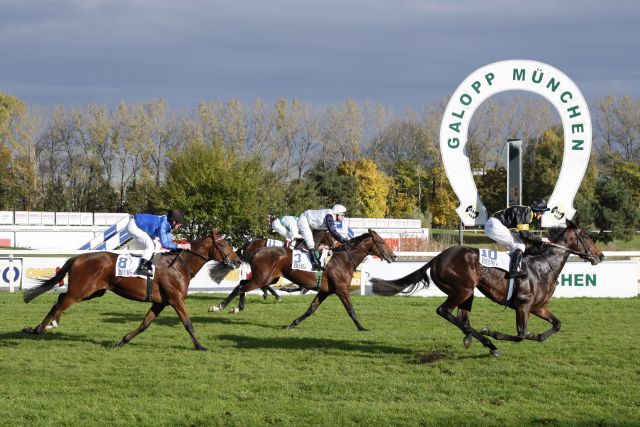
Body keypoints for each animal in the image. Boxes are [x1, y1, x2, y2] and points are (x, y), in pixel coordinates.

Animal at [23, 229, 240, 352]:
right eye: (223, 244)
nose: (238, 261)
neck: (178, 266)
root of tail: (78, 258)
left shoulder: (161, 302)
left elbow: (145, 324)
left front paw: (121, 341)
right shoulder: (176, 299)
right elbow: (188, 323)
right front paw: (199, 346)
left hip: (93, 292)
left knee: (60, 298)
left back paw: (40, 327)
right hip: (81, 292)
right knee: (60, 303)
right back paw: (42, 327)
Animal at [210, 229, 396, 332]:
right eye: (381, 241)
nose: (393, 256)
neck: (344, 260)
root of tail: (256, 249)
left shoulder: (325, 291)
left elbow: (310, 310)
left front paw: (291, 324)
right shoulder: (341, 290)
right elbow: (351, 310)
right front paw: (362, 328)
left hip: (267, 277)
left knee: (242, 284)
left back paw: (238, 307)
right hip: (262, 277)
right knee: (241, 287)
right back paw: (219, 306)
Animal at [370, 221, 604, 358]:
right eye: (587, 236)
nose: (600, 256)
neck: (544, 266)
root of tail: (436, 259)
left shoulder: (538, 307)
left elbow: (556, 325)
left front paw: (536, 335)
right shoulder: (523, 305)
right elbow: (520, 335)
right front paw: (492, 333)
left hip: (468, 292)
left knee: (462, 318)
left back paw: (471, 338)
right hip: (462, 289)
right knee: (444, 311)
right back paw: (489, 342)